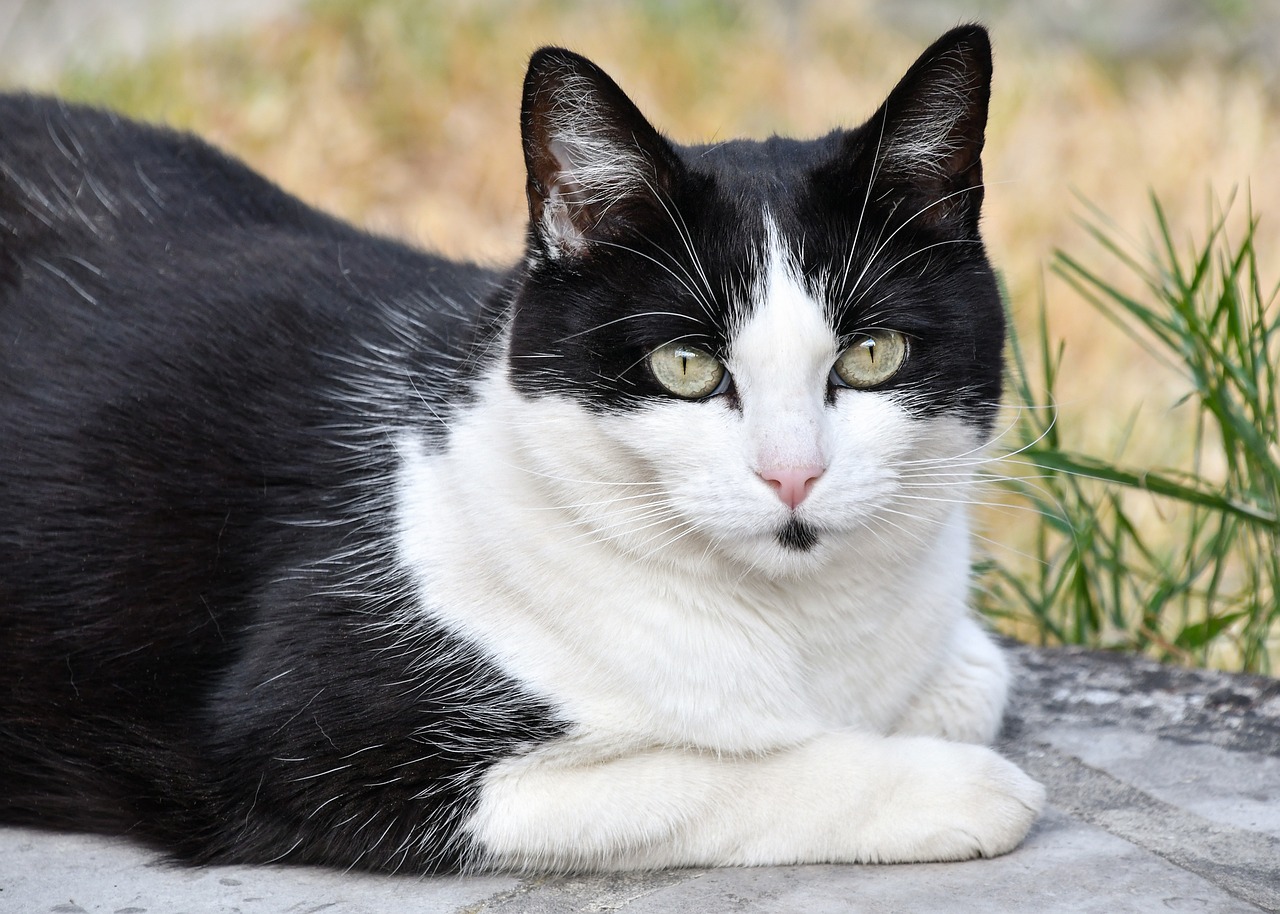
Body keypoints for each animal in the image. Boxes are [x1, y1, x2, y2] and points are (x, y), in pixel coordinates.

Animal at [0, 24, 1039, 870]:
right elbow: (688, 775)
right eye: (686, 366)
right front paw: (952, 785)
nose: (794, 474)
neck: (806, 638)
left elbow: (977, 676)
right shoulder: (300, 745)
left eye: (872, 354)